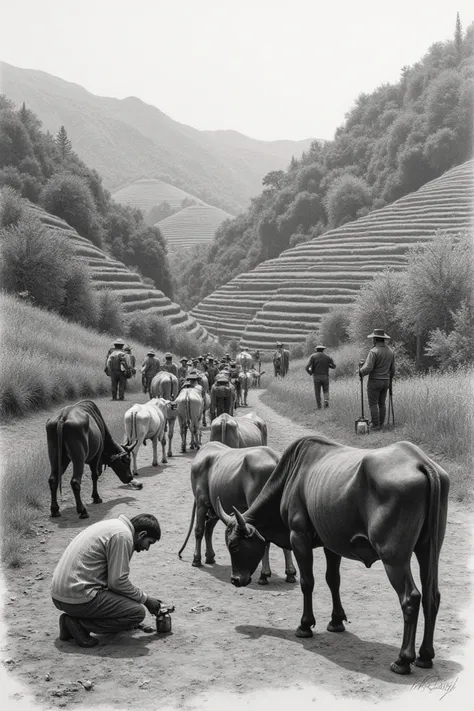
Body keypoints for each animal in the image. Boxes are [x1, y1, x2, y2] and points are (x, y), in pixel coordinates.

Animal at [178, 442, 296, 588]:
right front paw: (267, 574)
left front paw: (288, 573)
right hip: (203, 502)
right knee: (202, 529)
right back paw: (200, 558)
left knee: (208, 528)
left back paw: (209, 557)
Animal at [217, 436, 450, 676]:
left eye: (234, 546)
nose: (235, 579)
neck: (293, 475)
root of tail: (420, 461)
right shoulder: (331, 544)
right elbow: (333, 580)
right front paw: (336, 621)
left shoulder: (298, 537)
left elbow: (307, 582)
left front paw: (305, 624)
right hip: (428, 550)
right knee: (432, 595)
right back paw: (425, 655)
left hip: (394, 558)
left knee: (411, 598)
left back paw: (404, 659)